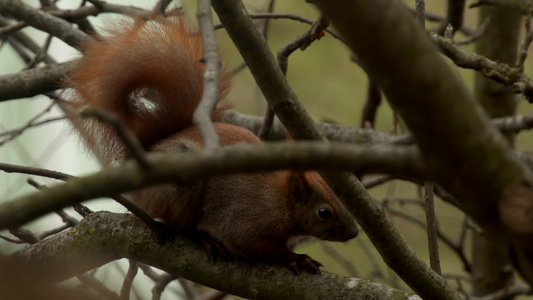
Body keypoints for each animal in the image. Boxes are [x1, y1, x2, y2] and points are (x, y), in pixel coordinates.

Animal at [65, 15, 358, 274]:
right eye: (324, 212)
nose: (354, 232)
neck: (279, 200)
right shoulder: (245, 219)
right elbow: (250, 244)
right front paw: (294, 259)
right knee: (183, 227)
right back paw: (207, 240)